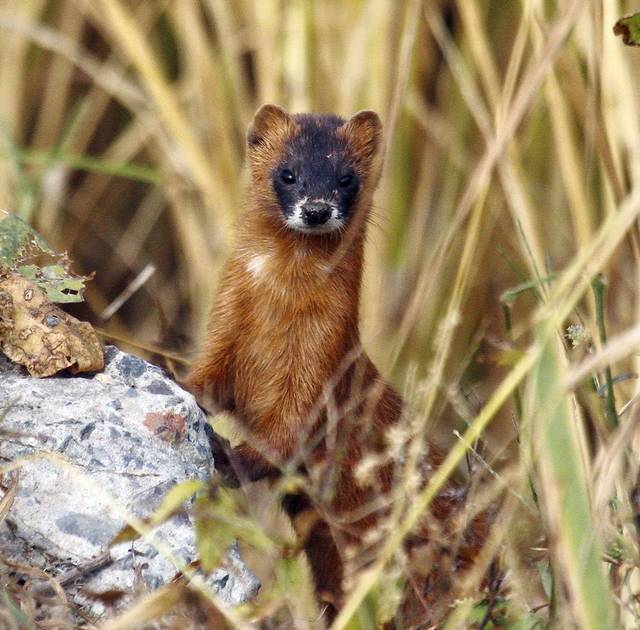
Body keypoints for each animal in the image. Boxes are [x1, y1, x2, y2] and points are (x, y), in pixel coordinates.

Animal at [185, 103, 490, 628]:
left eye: (347, 178)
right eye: (287, 173)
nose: (316, 208)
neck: (277, 316)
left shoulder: (320, 365)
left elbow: (288, 436)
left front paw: (230, 456)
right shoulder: (224, 332)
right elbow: (205, 382)